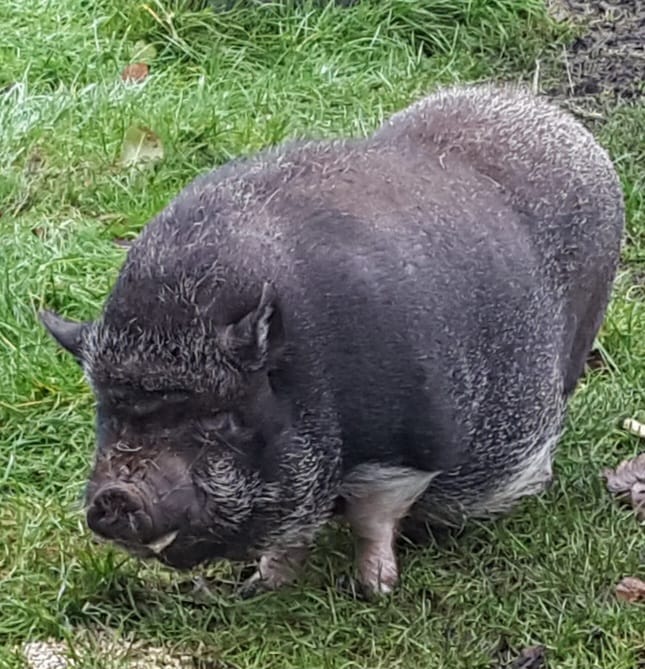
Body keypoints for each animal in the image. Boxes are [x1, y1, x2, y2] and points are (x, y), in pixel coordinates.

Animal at [40, 82, 624, 596]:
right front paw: (259, 587)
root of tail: (565, 124)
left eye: (221, 419)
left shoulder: (406, 445)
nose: (116, 495)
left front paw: (375, 590)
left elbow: (373, 517)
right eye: (107, 410)